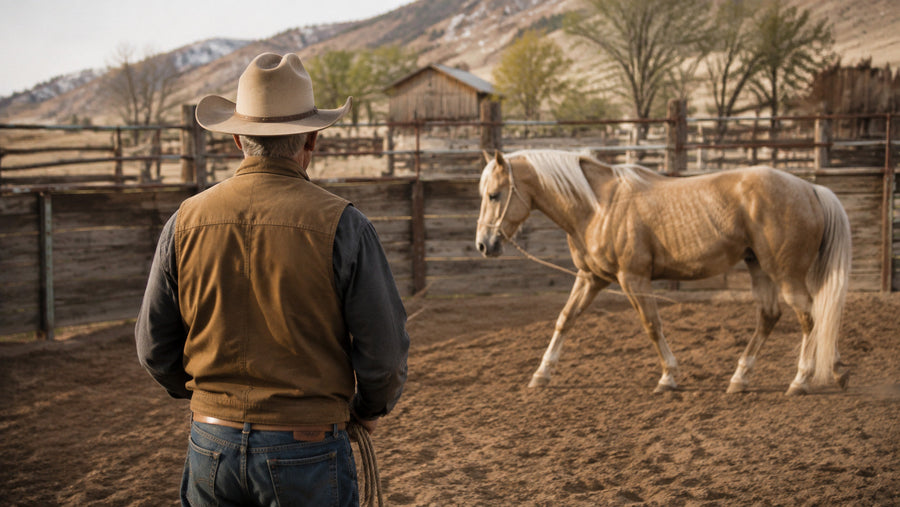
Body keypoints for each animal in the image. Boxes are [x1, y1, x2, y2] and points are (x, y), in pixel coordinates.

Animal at [475, 149, 852, 395]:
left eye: (494, 195)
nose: (483, 244)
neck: (597, 207)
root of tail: (811, 189)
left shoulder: (633, 279)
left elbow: (652, 325)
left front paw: (668, 377)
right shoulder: (591, 278)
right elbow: (565, 319)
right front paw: (541, 374)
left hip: (785, 274)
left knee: (810, 317)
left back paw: (801, 380)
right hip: (759, 268)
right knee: (772, 317)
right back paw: (749, 377)